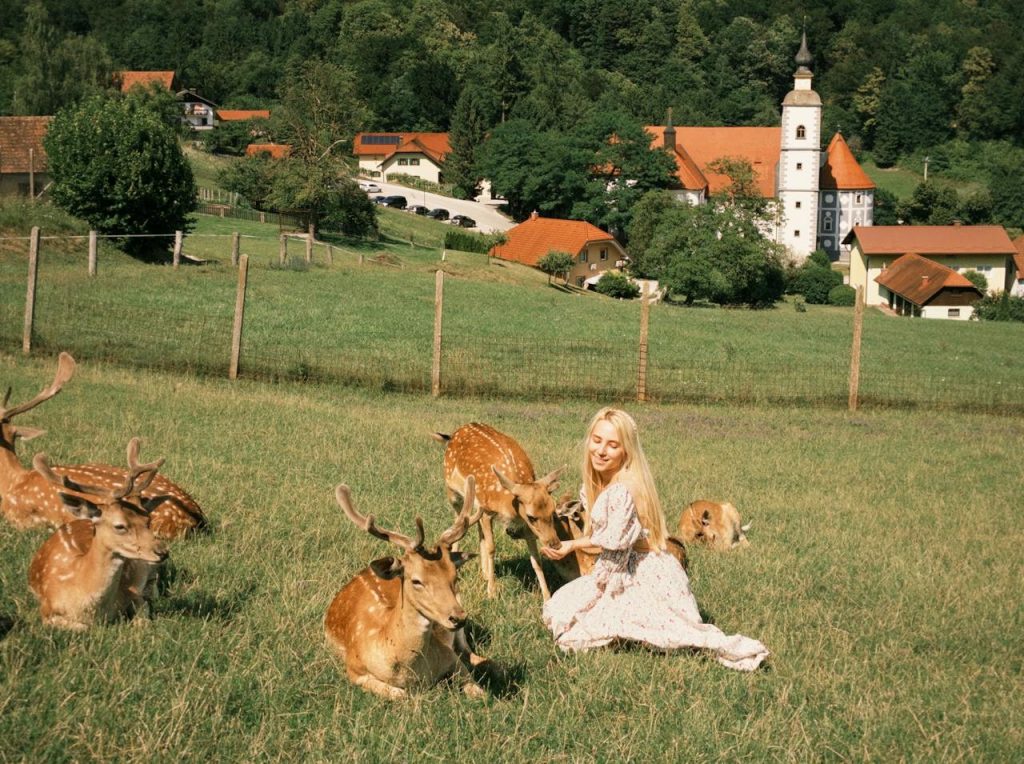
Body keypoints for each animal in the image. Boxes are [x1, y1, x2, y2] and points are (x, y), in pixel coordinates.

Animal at [28, 439, 168, 630]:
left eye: (147, 519)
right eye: (119, 526)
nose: (162, 551)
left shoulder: (133, 594)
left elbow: (144, 618)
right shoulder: (46, 610)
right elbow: (83, 627)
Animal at [324, 476, 487, 700]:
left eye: (455, 576)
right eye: (416, 581)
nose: (458, 617)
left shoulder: (450, 656)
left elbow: (479, 690)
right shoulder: (354, 668)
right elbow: (400, 695)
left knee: (470, 652)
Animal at [432, 423, 564, 601]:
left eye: (553, 510)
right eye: (532, 516)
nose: (555, 544)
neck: (507, 503)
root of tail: (453, 434)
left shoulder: (521, 523)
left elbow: (536, 559)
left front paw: (547, 597)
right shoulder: (490, 512)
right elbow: (491, 548)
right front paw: (491, 593)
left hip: (476, 505)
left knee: (477, 530)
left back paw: (484, 574)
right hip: (453, 493)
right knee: (458, 521)